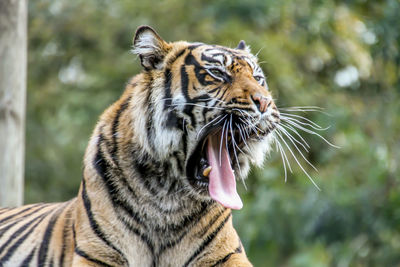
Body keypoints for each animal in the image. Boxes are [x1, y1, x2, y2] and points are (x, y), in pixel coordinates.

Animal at [0, 25, 280, 267]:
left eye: (258, 78)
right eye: (219, 74)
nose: (265, 102)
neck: (169, 197)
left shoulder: (226, 254)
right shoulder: (97, 254)